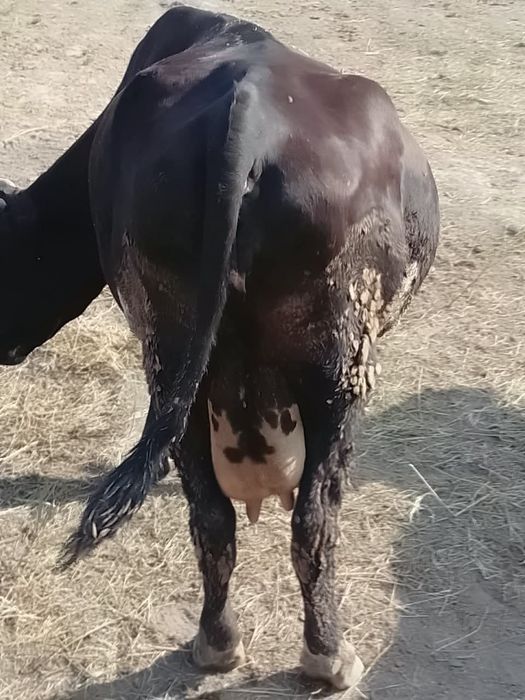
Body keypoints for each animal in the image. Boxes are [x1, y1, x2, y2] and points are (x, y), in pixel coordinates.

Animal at [1, 6, 439, 691]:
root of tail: (248, 112)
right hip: (338, 371)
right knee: (314, 520)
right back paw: (328, 657)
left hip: (174, 363)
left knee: (210, 513)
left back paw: (215, 643)